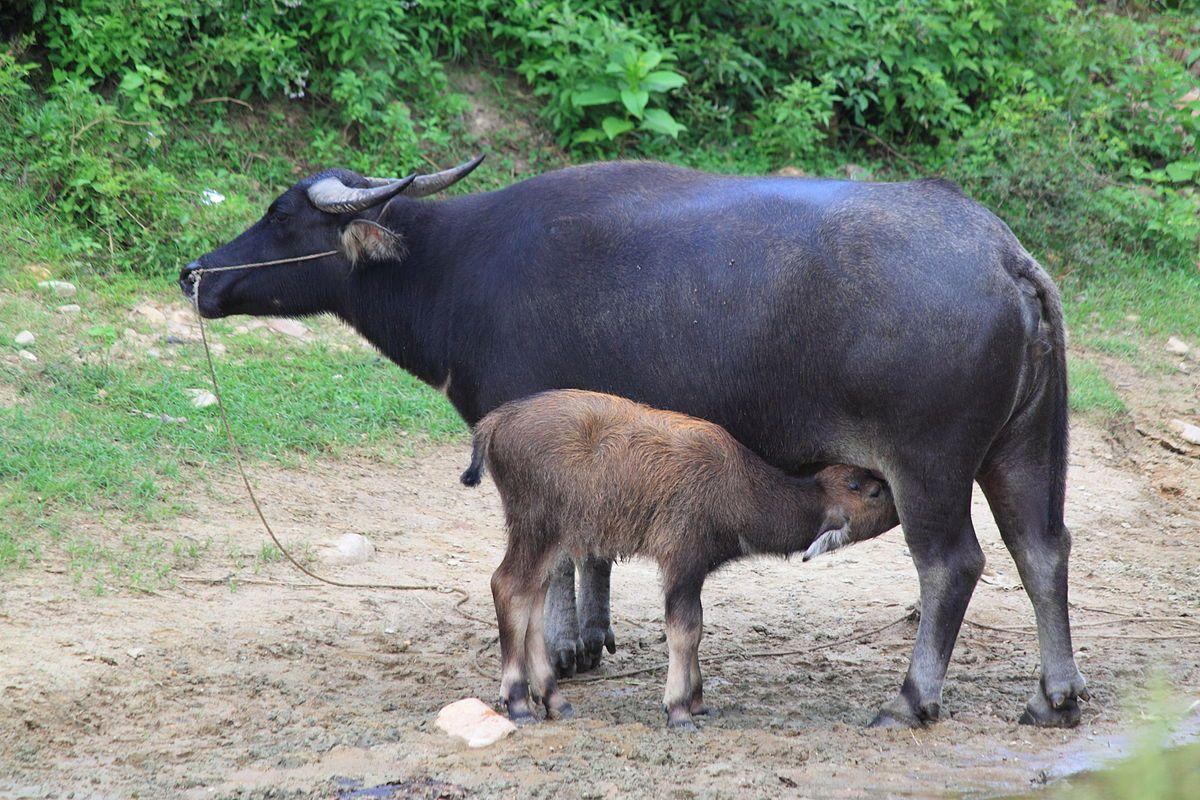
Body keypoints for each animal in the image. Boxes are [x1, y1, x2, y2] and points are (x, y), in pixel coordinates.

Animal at [181, 157, 1088, 728]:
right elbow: (593, 550)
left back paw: (910, 699)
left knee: (953, 566)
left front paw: (557, 649)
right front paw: (588, 639)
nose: (195, 273)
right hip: (1025, 448)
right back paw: (1054, 696)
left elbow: (554, 562)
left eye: (280, 215)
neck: (455, 267)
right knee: (1042, 550)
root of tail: (1005, 256)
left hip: (928, 466)